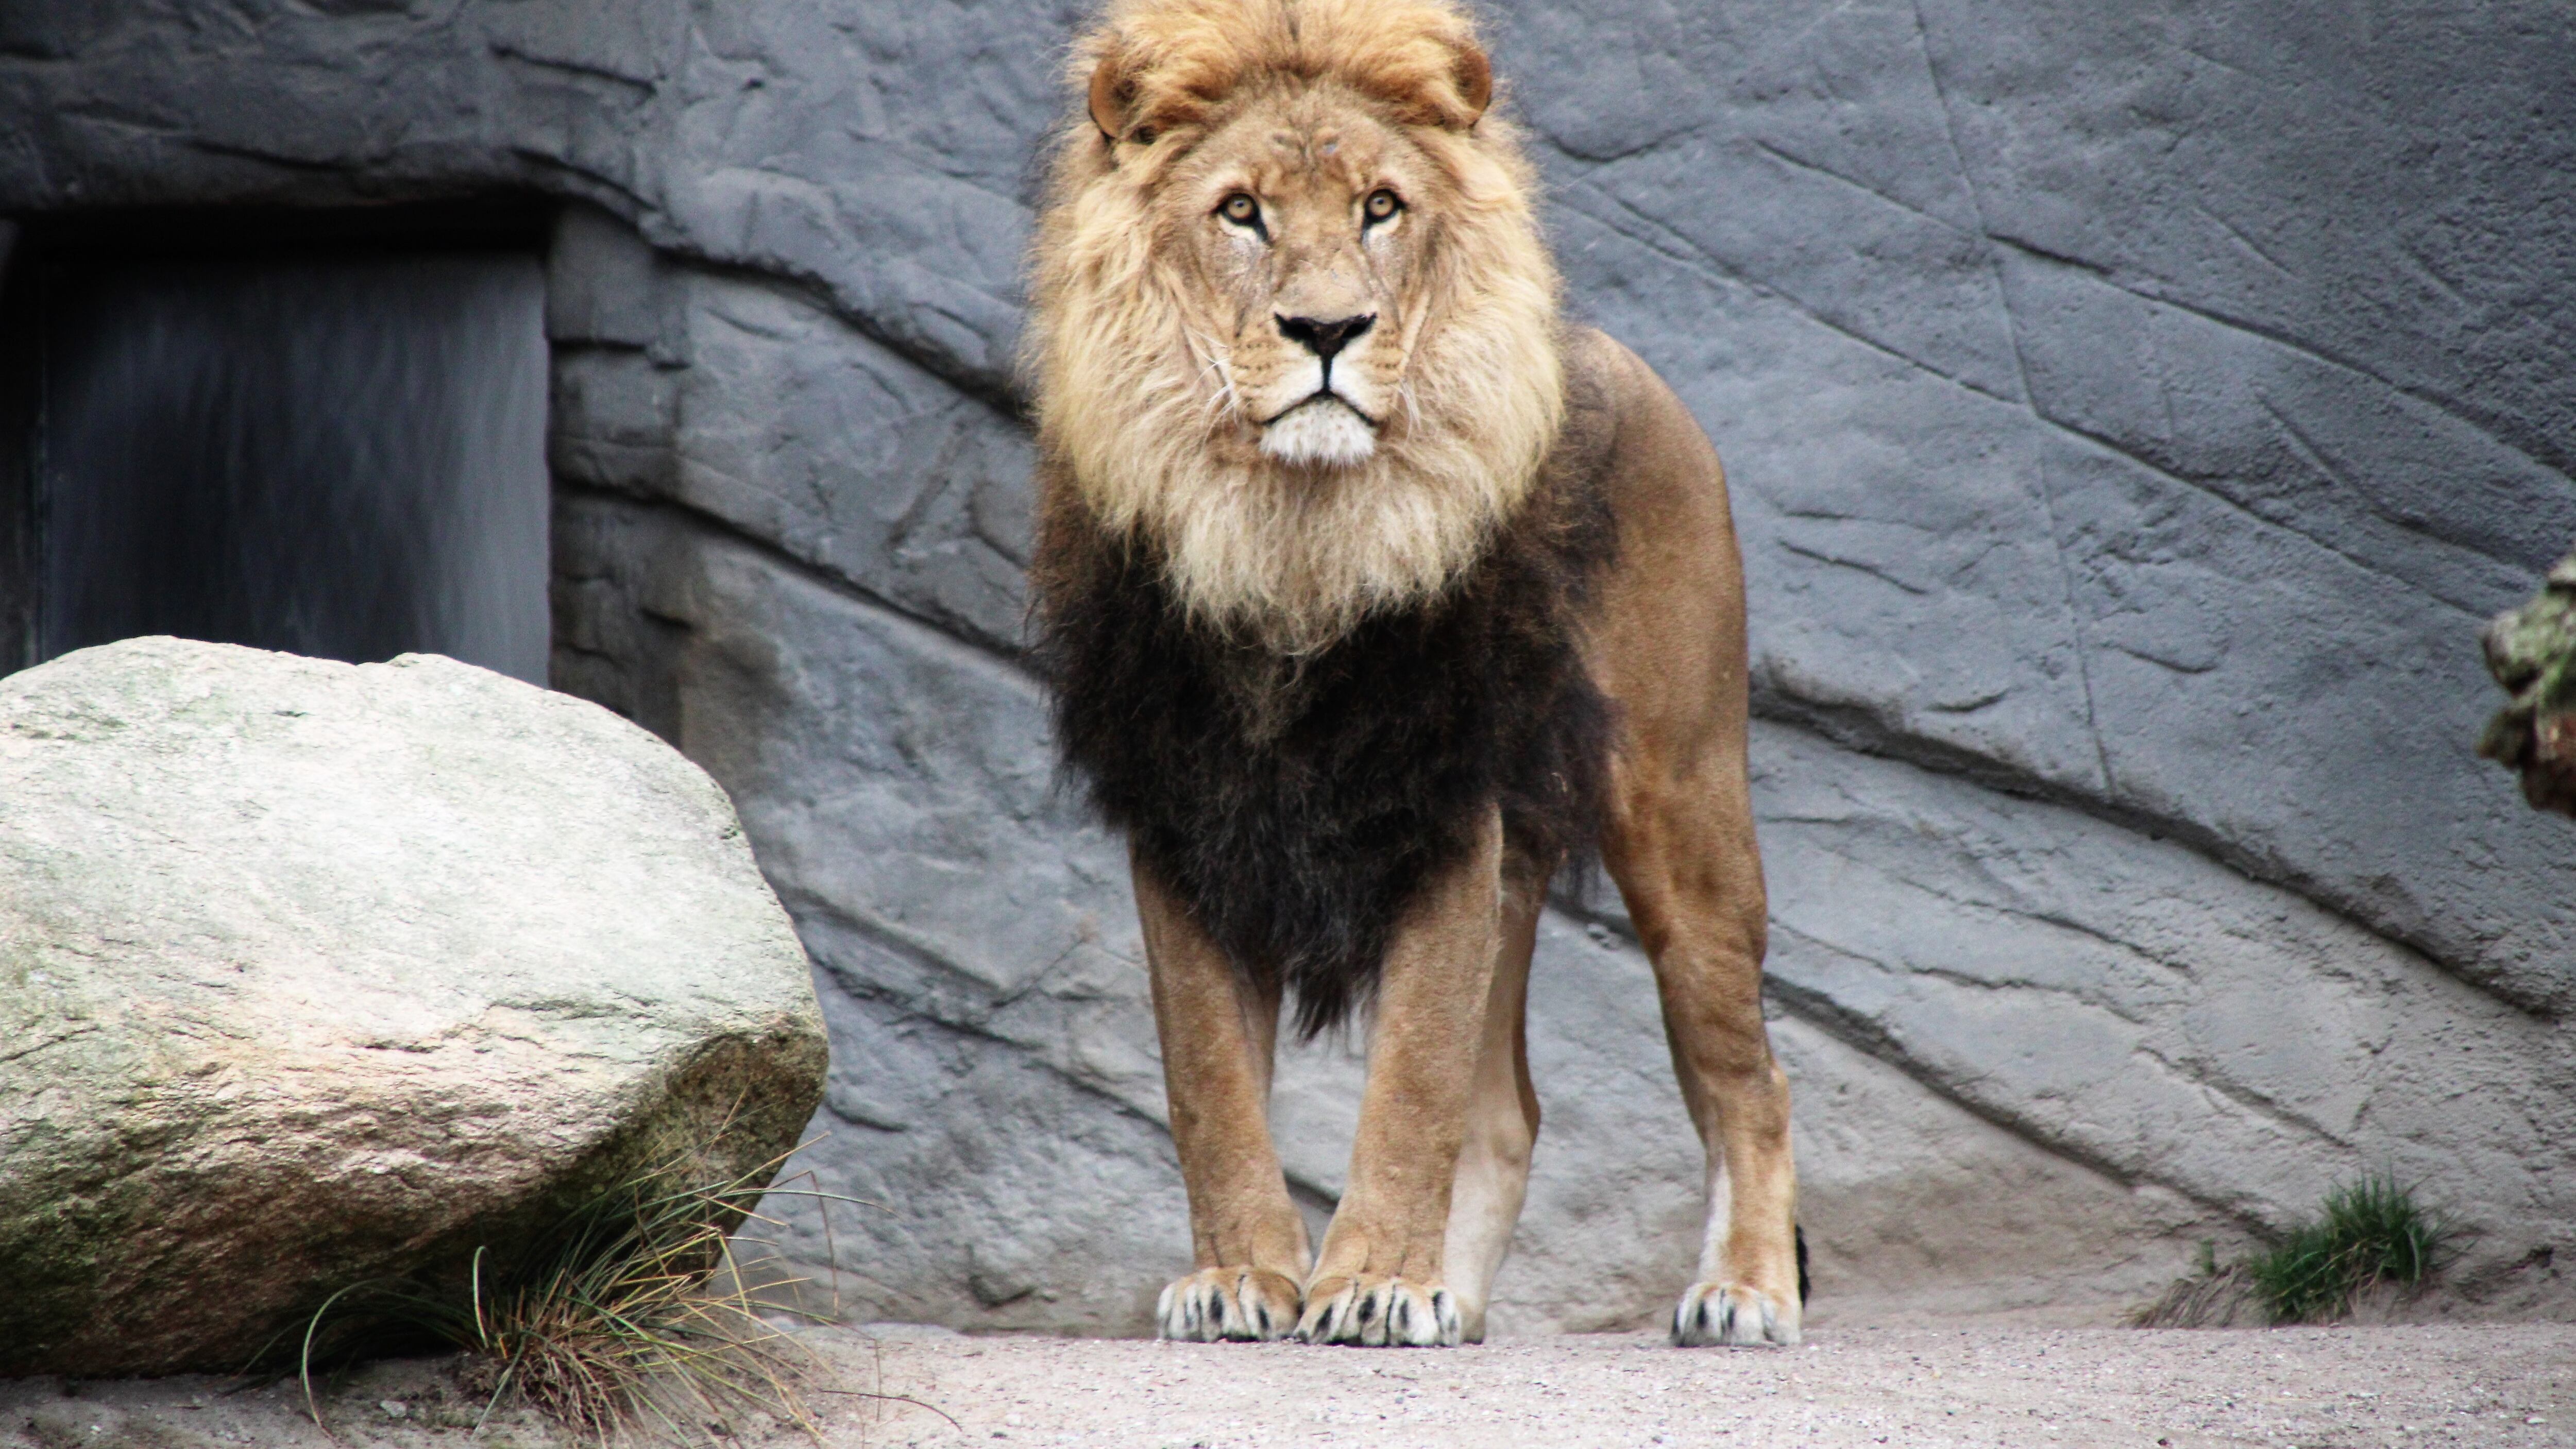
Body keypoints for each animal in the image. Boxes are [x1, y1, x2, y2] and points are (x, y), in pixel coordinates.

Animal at [1026, 0, 1800, 1348]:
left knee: (1749, 1075)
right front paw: (1243, 1273)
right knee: (1511, 1114)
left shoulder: (1444, 798)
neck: (1292, 537)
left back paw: (1744, 1289)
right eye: (1242, 212)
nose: (1328, 330)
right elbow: (1209, 1083)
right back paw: (1466, 1299)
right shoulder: (1183, 813)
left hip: (1683, 807)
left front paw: (1376, 1278)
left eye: (1381, 208)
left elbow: (1412, 1082)